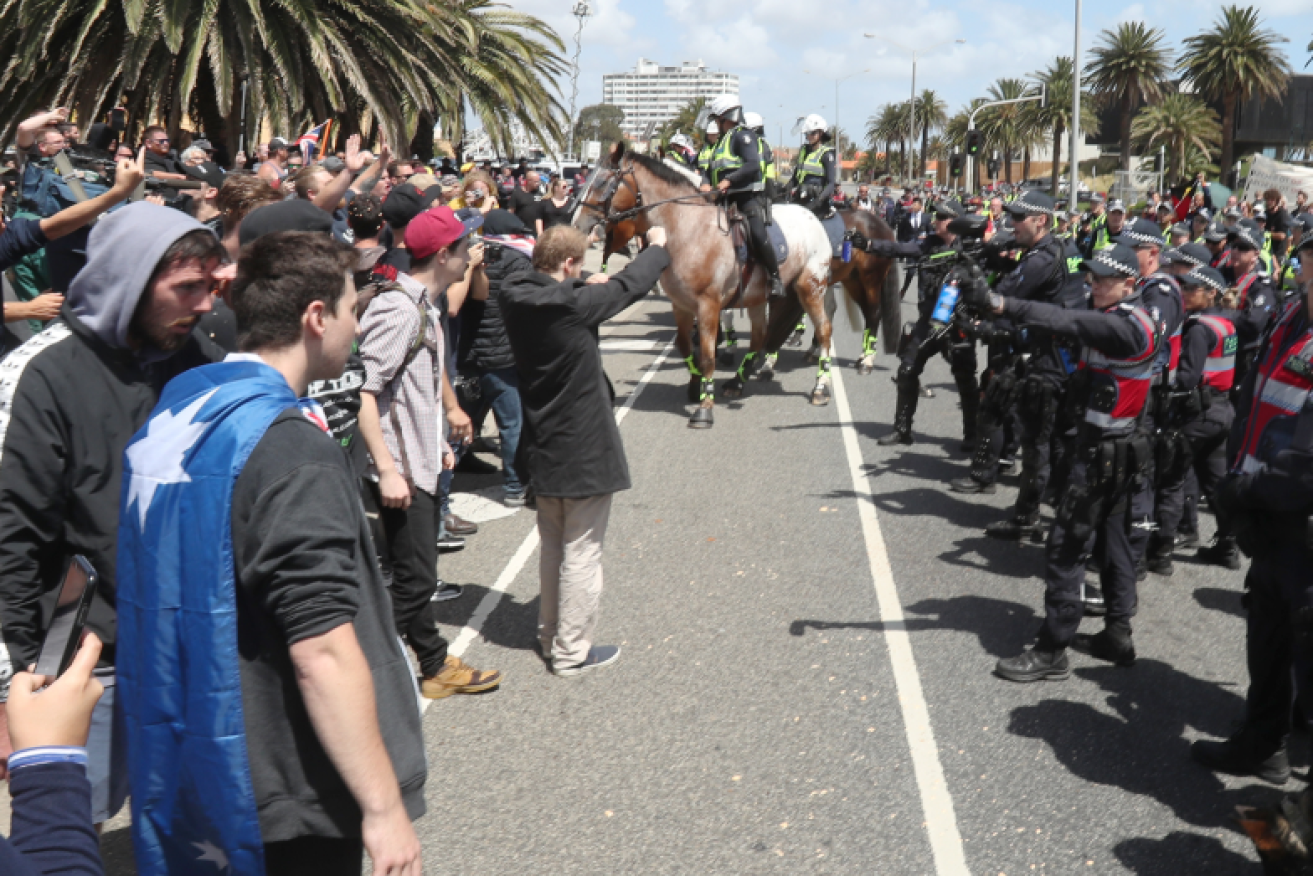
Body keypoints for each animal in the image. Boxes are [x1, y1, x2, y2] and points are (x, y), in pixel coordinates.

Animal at [580, 143, 835, 428]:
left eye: (604, 182)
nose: (578, 224)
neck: (689, 230)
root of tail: (811, 215)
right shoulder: (681, 305)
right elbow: (685, 347)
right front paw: (695, 386)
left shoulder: (708, 305)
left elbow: (708, 353)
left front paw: (705, 406)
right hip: (758, 297)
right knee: (759, 337)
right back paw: (737, 382)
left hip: (811, 288)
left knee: (824, 330)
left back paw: (821, 388)